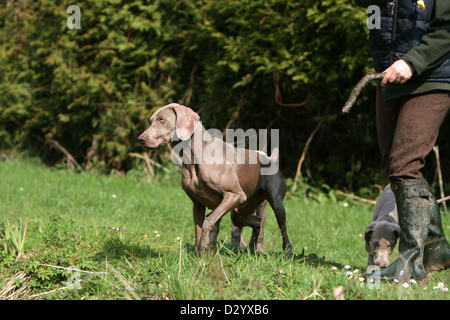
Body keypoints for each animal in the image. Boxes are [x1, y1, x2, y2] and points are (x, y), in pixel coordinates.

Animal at [138, 103, 292, 258]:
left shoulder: (235, 195)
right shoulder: (197, 203)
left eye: (162, 120)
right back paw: (252, 246)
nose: (140, 139)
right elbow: (198, 229)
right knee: (254, 222)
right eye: (151, 120)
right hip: (242, 208)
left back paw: (286, 253)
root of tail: (269, 158)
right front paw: (198, 257)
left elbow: (208, 222)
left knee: (282, 230)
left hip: (275, 203)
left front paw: (204, 252)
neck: (193, 156)